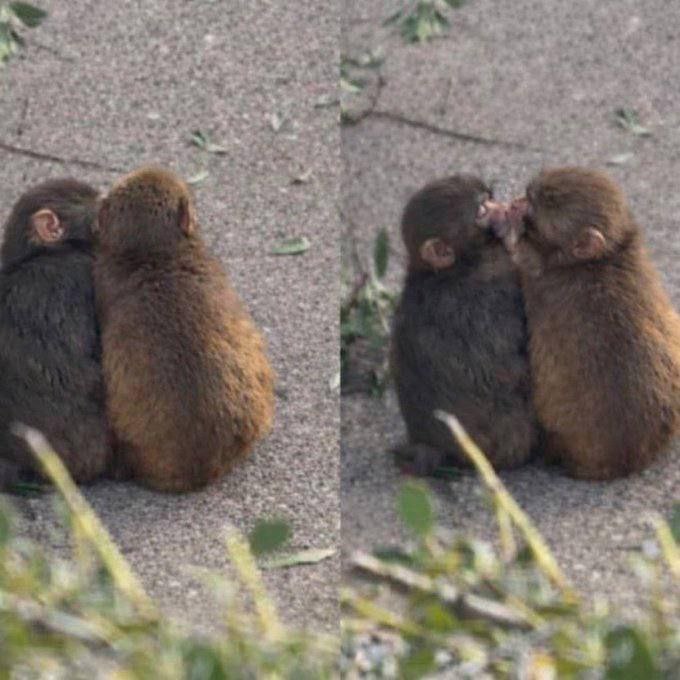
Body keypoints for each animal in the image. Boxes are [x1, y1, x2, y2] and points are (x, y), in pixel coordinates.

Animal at [390, 174, 539, 476]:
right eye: (482, 210)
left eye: (490, 198)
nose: (506, 208)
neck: (445, 272)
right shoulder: (491, 289)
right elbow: (514, 363)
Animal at [499, 167, 680, 480]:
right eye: (530, 195)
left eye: (536, 206)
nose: (519, 201)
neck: (603, 258)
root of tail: (628, 461)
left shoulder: (540, 281)